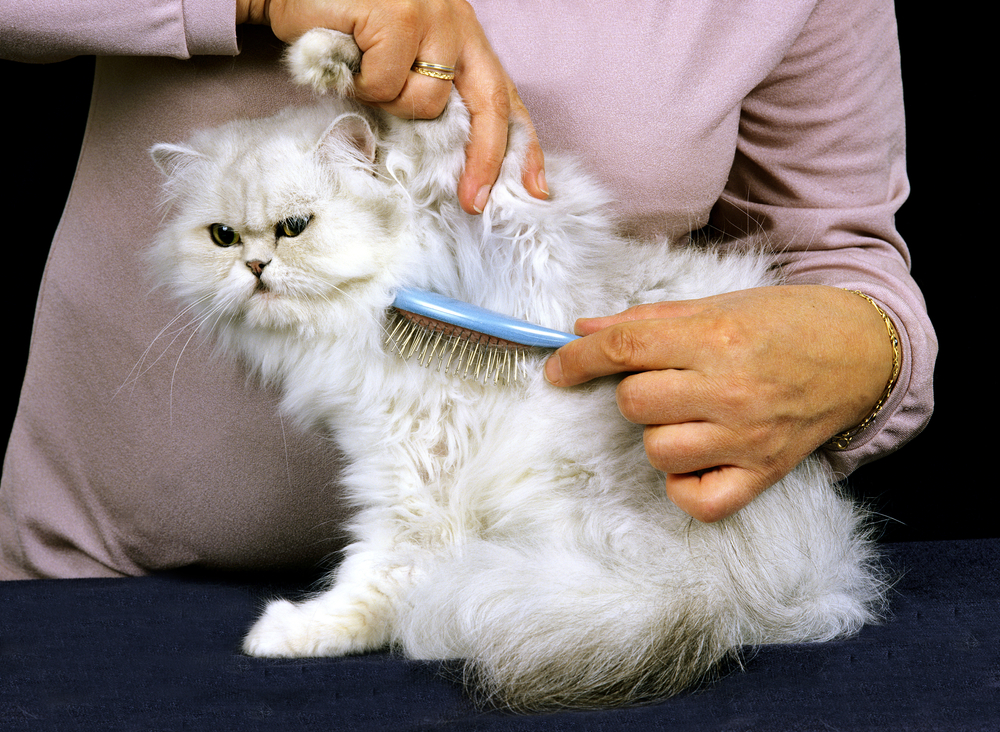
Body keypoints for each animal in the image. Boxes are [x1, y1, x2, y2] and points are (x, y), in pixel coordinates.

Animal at [146, 31, 884, 712]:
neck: (378, 305)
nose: (255, 267)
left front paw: (332, 57)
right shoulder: (396, 469)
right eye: (222, 237)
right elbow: (376, 583)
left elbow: (444, 126)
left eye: (294, 227)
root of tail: (741, 593)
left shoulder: (511, 230)